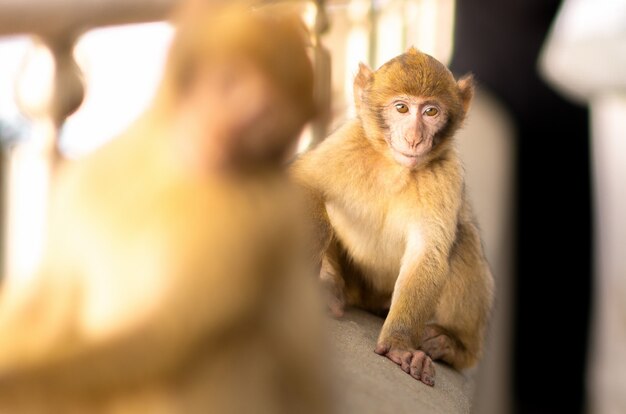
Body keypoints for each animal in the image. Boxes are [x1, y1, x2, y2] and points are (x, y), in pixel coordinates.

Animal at [0, 1, 332, 412]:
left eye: (264, 118)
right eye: (229, 83)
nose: (222, 131)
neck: (170, 172)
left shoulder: (252, 223)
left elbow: (163, 338)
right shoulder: (90, 180)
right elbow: (53, 303)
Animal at [292, 49, 492, 388]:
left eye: (430, 111)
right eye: (401, 108)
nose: (413, 138)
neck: (395, 166)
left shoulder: (446, 173)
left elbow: (427, 254)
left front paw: (400, 345)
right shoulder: (349, 143)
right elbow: (304, 182)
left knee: (464, 239)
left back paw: (452, 345)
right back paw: (331, 288)